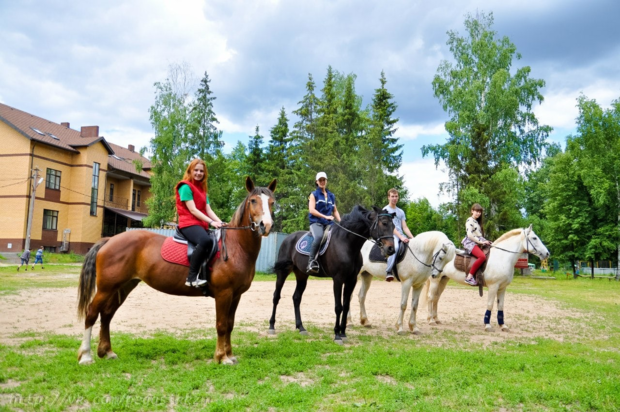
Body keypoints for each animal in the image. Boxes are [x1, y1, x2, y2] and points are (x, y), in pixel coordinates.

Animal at [76, 177, 277, 365]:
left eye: (272, 202)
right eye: (253, 201)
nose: (265, 226)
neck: (236, 247)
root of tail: (109, 240)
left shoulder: (236, 295)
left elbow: (229, 324)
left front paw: (230, 355)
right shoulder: (223, 294)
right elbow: (221, 325)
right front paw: (221, 357)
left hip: (123, 286)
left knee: (107, 314)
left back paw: (107, 352)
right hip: (106, 288)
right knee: (91, 313)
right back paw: (86, 356)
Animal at [269, 206, 396, 344]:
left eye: (393, 225)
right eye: (384, 223)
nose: (391, 249)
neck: (347, 244)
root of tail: (288, 238)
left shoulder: (351, 280)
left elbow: (346, 305)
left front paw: (343, 333)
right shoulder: (338, 279)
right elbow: (338, 307)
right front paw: (337, 335)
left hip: (302, 275)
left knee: (296, 298)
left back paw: (301, 327)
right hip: (283, 272)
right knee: (276, 296)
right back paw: (271, 326)